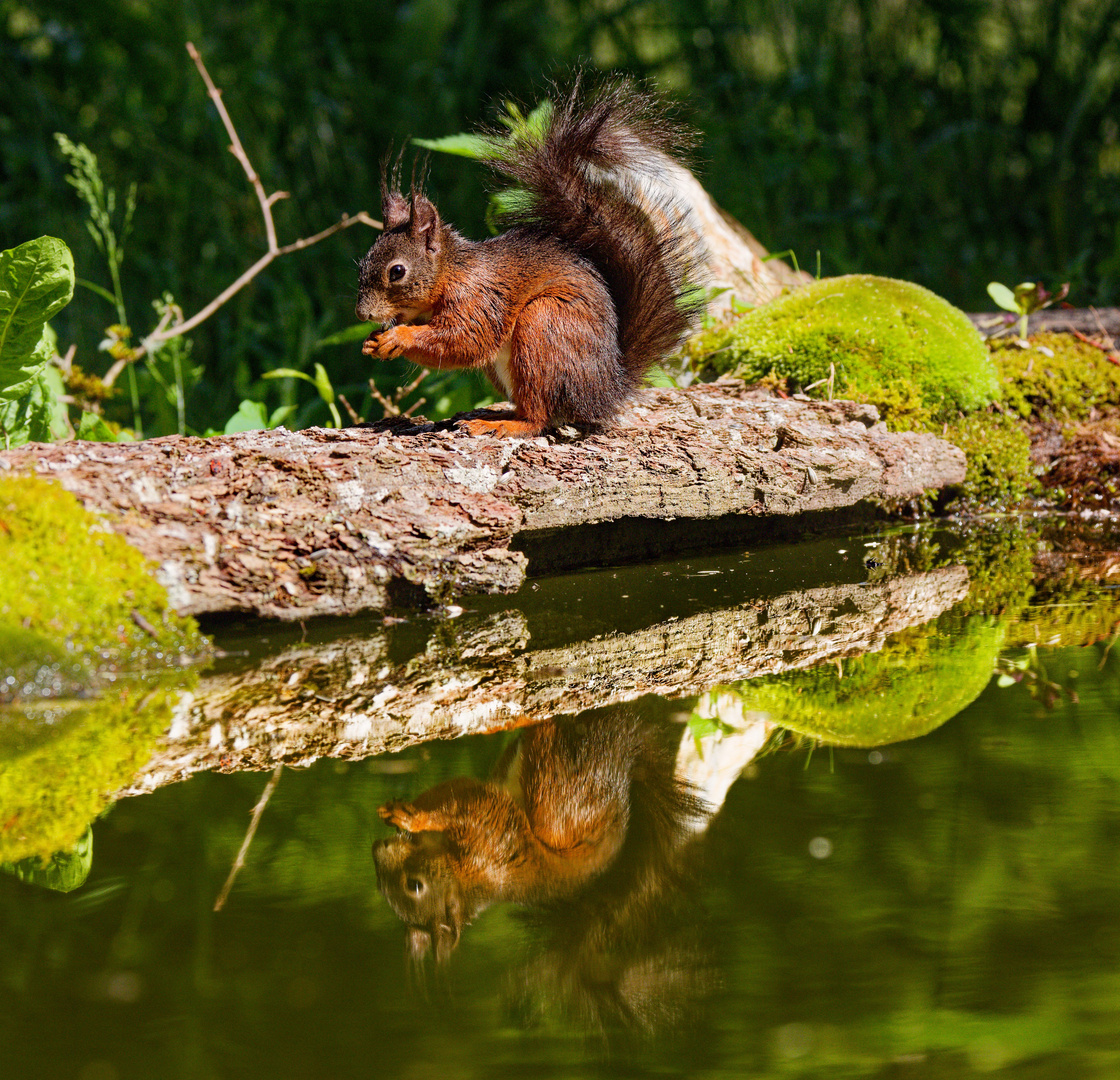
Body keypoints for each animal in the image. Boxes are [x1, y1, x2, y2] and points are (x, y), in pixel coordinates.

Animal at [353, 78, 703, 439]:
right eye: (363, 264)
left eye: (397, 271)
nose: (362, 314)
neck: (453, 273)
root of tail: (607, 388)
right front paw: (371, 342)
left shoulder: (479, 301)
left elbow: (465, 340)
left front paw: (399, 337)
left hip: (544, 326)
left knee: (539, 416)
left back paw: (503, 423)